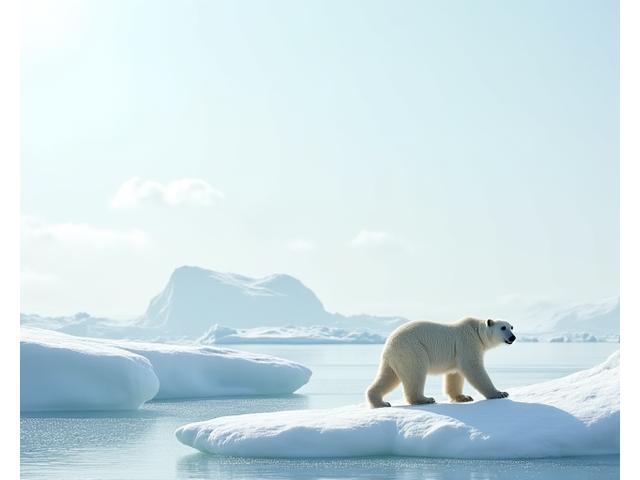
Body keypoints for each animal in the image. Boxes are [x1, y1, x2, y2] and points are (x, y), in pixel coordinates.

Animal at [366, 318, 516, 408]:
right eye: (503, 327)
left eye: (512, 327)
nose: (513, 337)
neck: (477, 332)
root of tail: (388, 344)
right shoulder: (467, 344)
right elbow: (474, 368)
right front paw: (500, 393)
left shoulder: (457, 354)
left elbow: (455, 375)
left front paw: (464, 397)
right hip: (412, 350)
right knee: (415, 374)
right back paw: (425, 399)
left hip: (395, 358)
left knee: (388, 377)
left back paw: (381, 402)